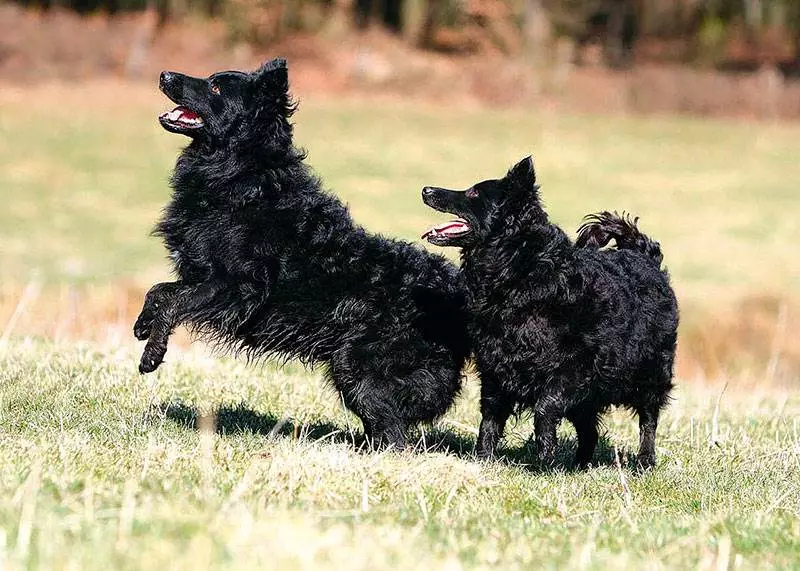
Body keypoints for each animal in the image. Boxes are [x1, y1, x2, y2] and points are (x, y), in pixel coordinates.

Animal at [133, 59, 468, 452]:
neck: (241, 176)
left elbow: (174, 303)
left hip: (355, 366)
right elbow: (159, 290)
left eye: (215, 87)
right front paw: (141, 325)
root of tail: (456, 290)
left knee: (394, 433)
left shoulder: (237, 287)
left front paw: (152, 355)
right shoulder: (202, 277)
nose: (164, 75)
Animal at [422, 158, 680, 470]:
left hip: (650, 374)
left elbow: (545, 409)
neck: (519, 269)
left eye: (473, 193)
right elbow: (490, 420)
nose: (426, 189)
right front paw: (483, 460)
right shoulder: (495, 367)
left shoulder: (571, 370)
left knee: (648, 420)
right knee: (590, 431)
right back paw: (580, 465)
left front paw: (545, 459)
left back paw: (644, 461)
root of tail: (643, 255)